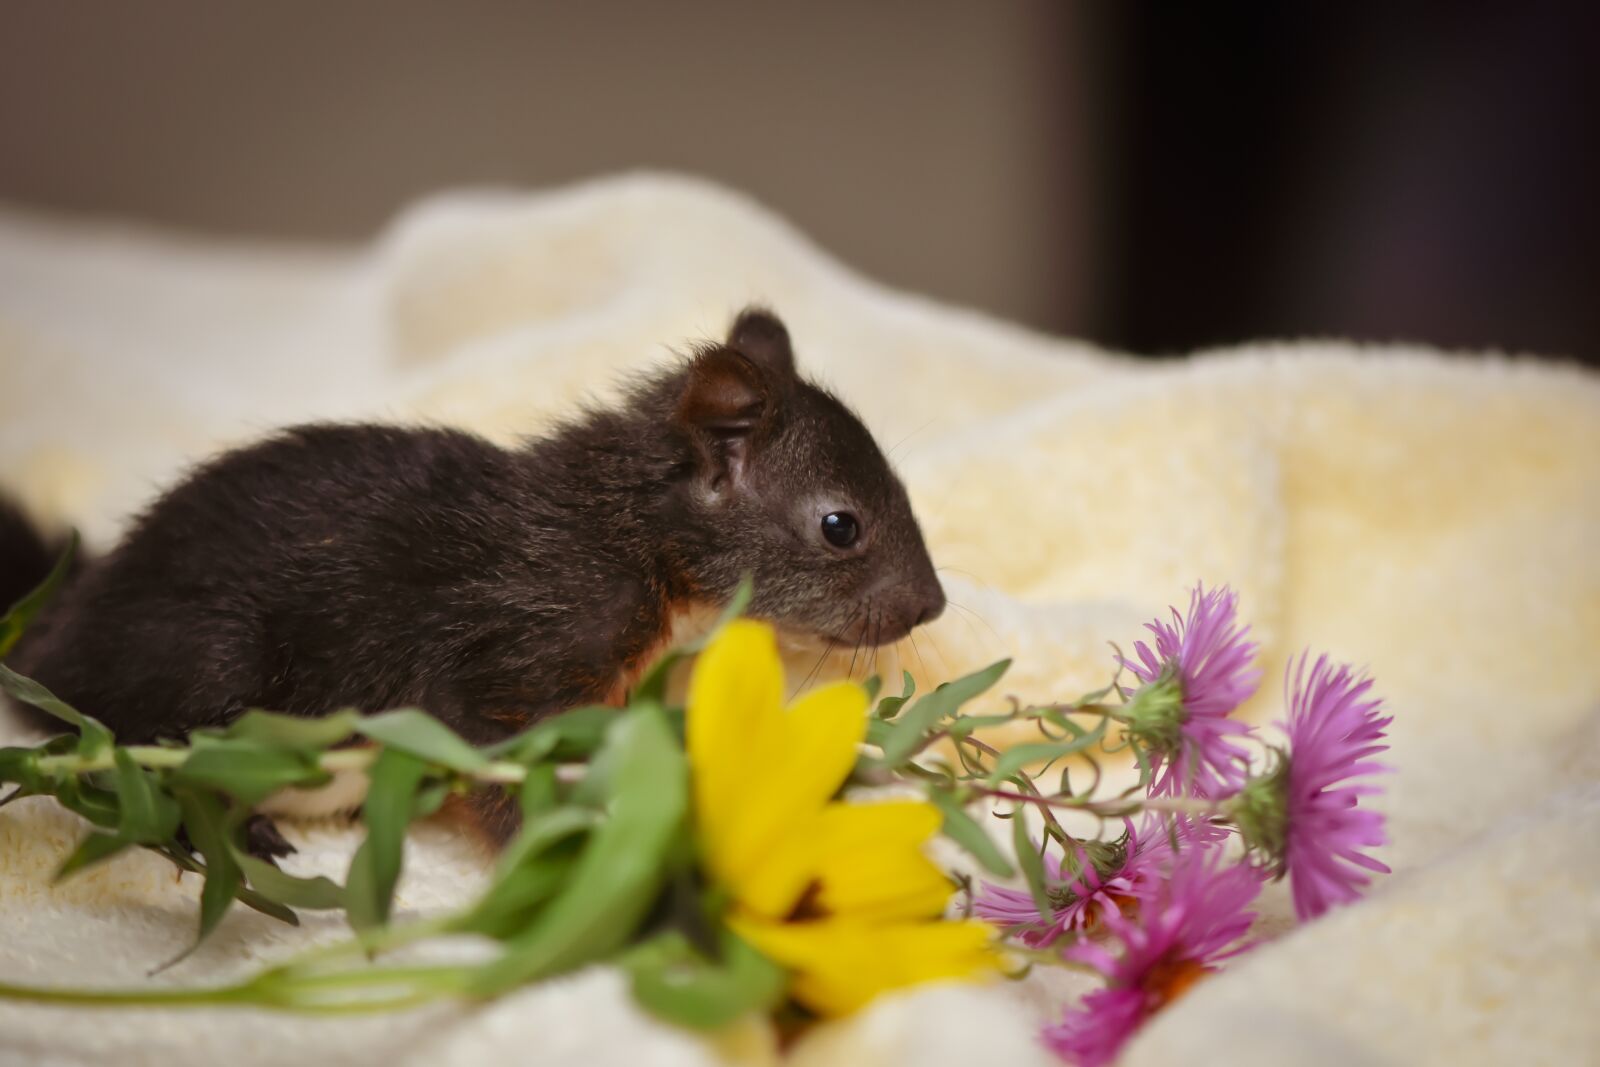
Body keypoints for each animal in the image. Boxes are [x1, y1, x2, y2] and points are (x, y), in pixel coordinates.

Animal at [1, 308, 945, 844]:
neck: (632, 535)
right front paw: (561, 851)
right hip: (207, 662)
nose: (932, 605)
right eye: (840, 526)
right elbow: (494, 756)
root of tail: (56, 636)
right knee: (116, 746)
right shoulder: (517, 644)